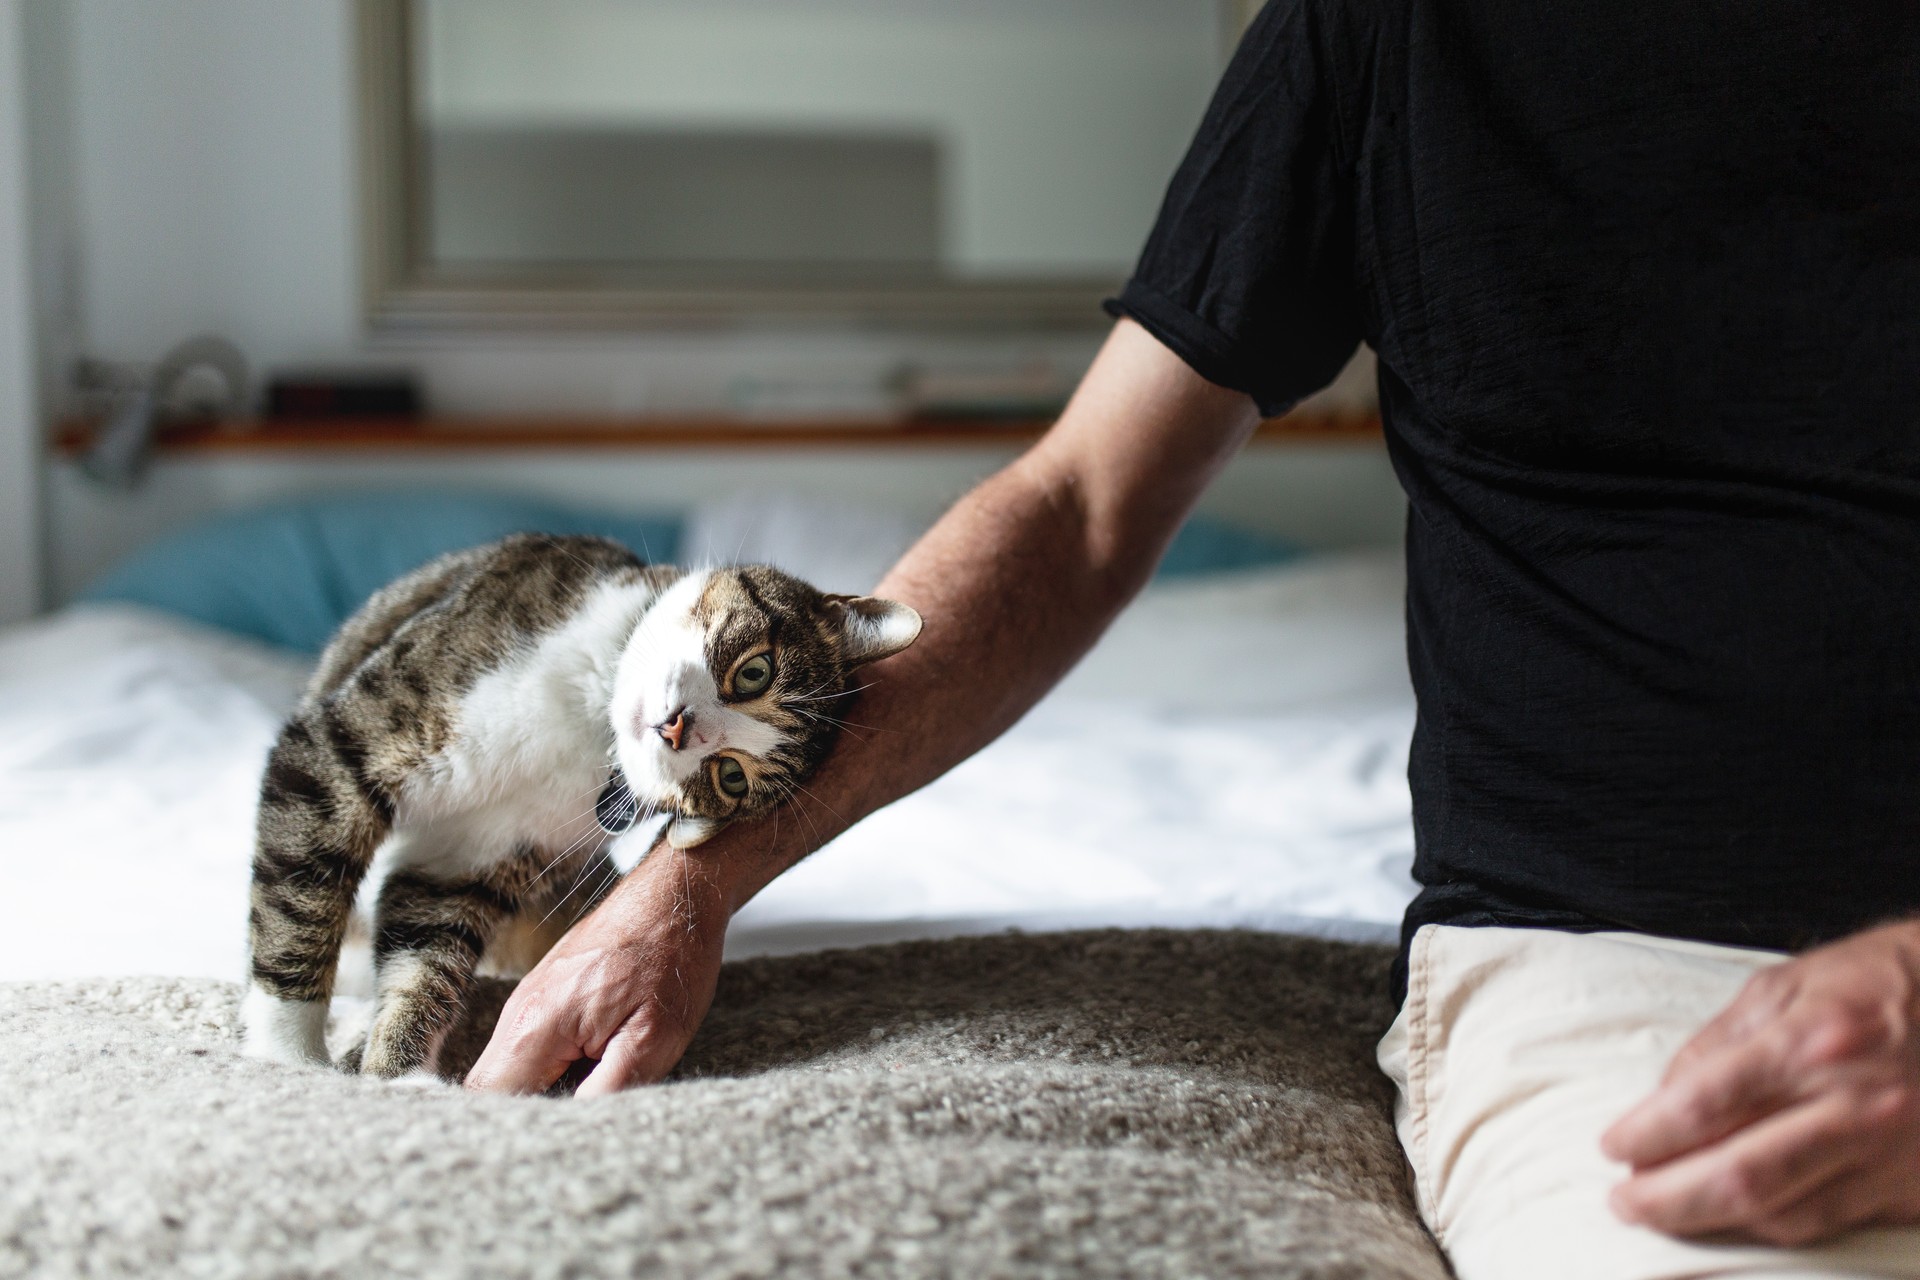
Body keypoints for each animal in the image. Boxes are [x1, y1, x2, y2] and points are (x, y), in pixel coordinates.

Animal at [240, 533, 921, 1082]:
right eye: (754, 673)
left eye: (729, 776)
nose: (678, 729)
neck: (593, 723)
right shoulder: (350, 742)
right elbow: (299, 895)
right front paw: (289, 1061)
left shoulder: (470, 855)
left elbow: (422, 958)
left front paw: (397, 1079)